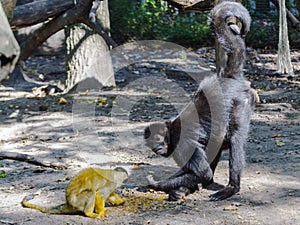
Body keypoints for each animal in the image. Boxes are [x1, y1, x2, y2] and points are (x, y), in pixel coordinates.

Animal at [144, 1, 256, 201]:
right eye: (150, 144)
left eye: (157, 139)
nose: (156, 148)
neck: (170, 131)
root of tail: (225, 78)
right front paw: (180, 188)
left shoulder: (181, 143)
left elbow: (204, 173)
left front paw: (154, 184)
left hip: (240, 103)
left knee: (235, 138)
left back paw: (231, 187)